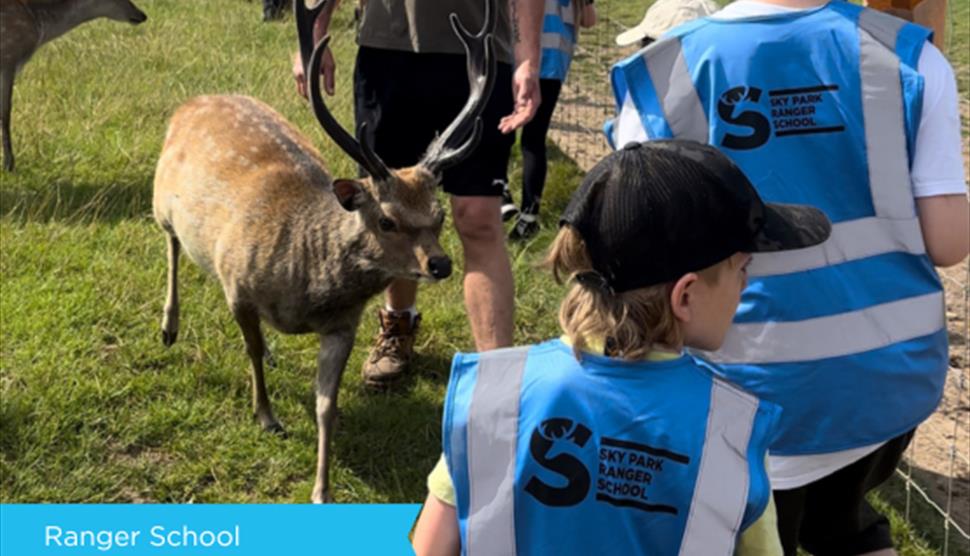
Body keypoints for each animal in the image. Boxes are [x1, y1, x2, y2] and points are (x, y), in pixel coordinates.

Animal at [151, 0, 500, 502]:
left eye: (438, 216)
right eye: (386, 219)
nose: (440, 264)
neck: (303, 278)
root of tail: (192, 101)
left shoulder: (343, 326)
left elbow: (324, 404)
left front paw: (322, 488)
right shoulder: (237, 285)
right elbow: (249, 352)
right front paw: (267, 416)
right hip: (160, 199)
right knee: (172, 244)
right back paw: (169, 326)